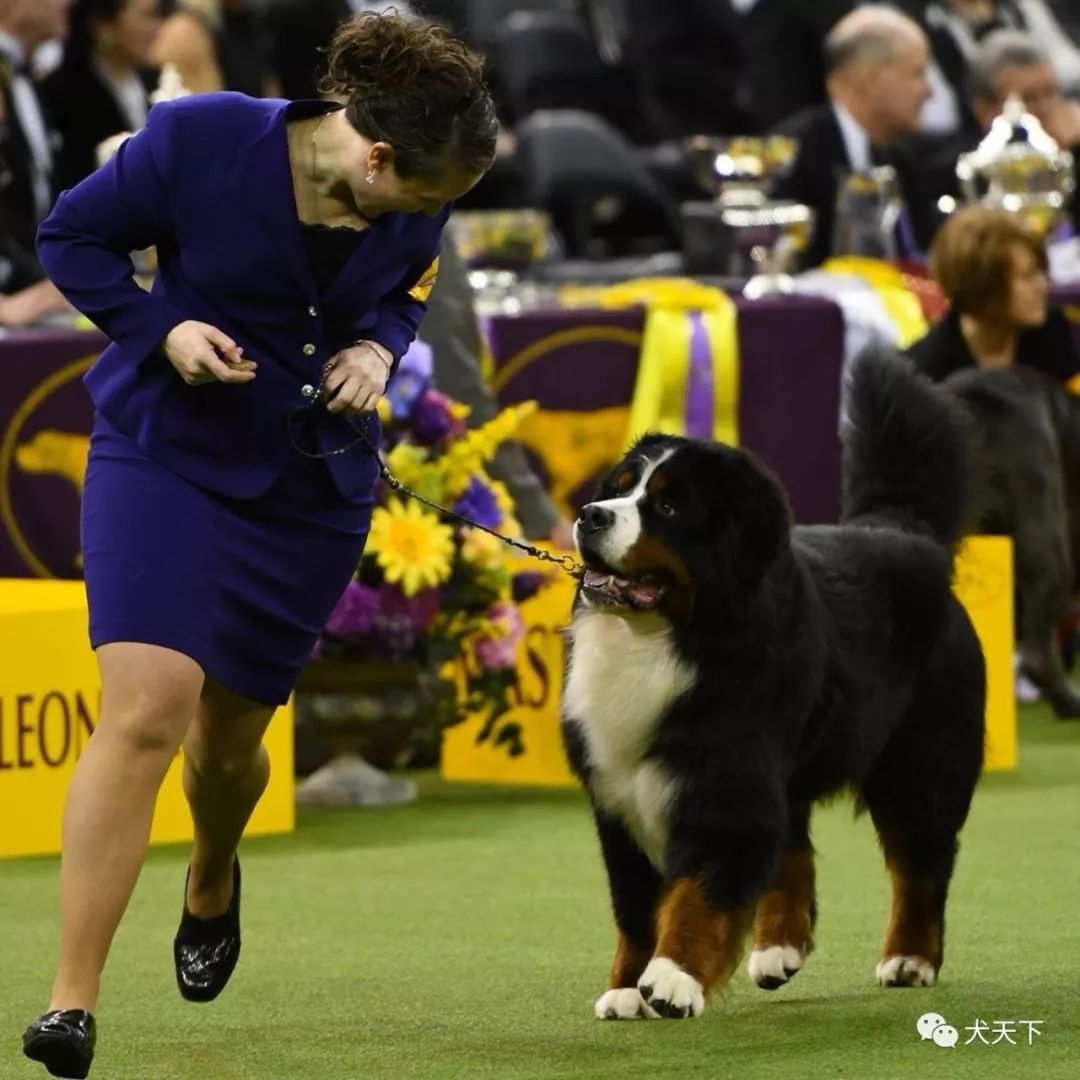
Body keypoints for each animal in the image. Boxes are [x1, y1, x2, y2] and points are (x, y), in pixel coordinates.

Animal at [565, 347, 989, 1019]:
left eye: (668, 508)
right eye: (620, 487)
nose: (590, 515)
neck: (666, 639)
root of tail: (904, 531)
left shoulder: (725, 783)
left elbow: (698, 893)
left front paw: (673, 978)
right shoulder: (619, 799)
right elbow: (634, 909)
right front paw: (626, 988)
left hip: (920, 765)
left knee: (920, 864)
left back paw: (910, 958)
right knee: (794, 849)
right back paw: (778, 949)